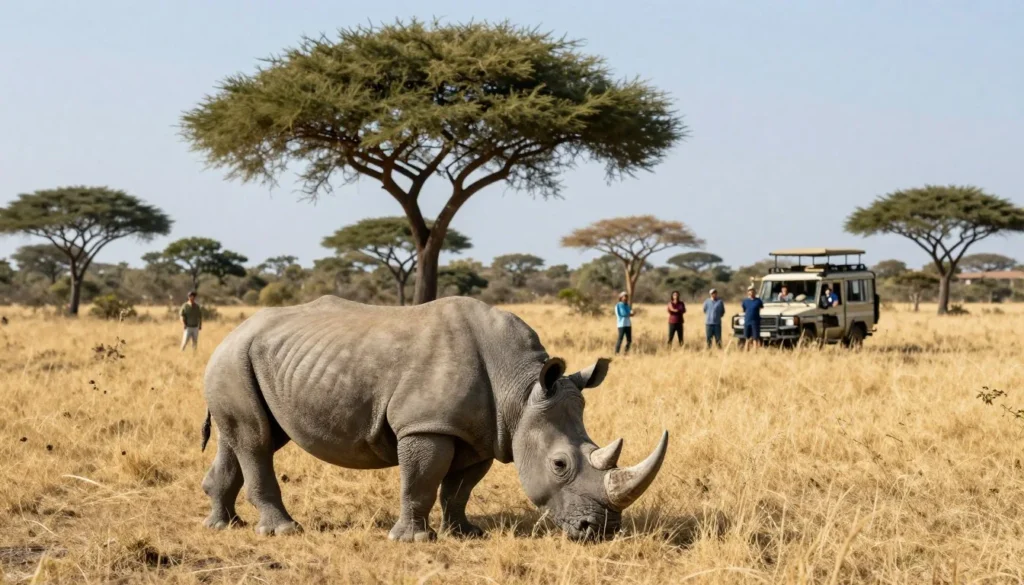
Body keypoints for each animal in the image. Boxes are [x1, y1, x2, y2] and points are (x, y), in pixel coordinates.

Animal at [199, 296, 668, 542]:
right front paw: (412, 540)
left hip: (247, 361)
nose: (599, 530)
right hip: (233, 358)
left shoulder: (485, 432)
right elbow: (421, 481)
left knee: (242, 438)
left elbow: (459, 488)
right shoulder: (426, 426)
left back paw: (223, 525)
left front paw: (465, 533)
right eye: (559, 464)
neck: (520, 389)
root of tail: (232, 333)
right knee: (257, 441)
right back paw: (284, 531)